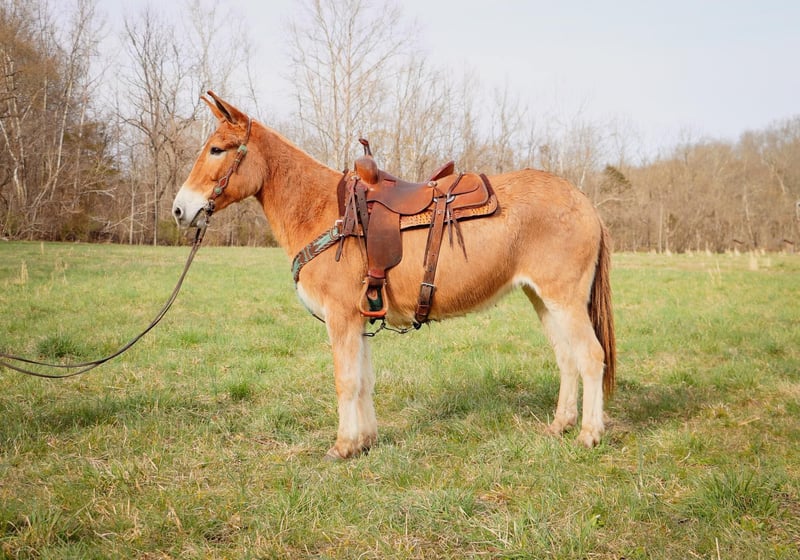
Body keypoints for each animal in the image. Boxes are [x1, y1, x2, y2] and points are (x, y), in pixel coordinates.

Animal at [172, 91, 616, 460]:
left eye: (216, 149)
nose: (180, 209)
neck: (323, 211)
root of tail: (585, 203)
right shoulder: (360, 318)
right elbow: (364, 380)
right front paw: (365, 440)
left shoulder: (341, 318)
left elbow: (345, 381)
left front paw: (343, 446)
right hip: (543, 299)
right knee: (567, 358)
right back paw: (560, 425)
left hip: (565, 300)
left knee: (591, 357)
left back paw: (589, 434)